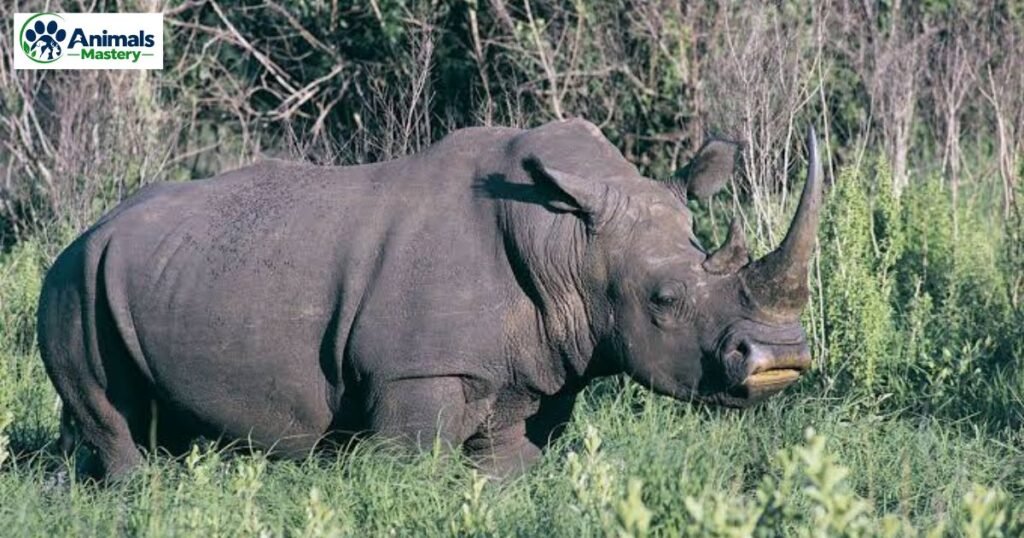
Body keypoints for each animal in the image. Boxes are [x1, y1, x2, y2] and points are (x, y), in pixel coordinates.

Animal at [38, 119, 822, 480]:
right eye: (665, 298)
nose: (782, 357)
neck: (567, 246)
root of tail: (86, 231)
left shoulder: (541, 360)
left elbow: (509, 457)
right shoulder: (416, 370)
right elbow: (412, 466)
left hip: (146, 276)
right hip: (72, 281)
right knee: (112, 413)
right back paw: (137, 490)